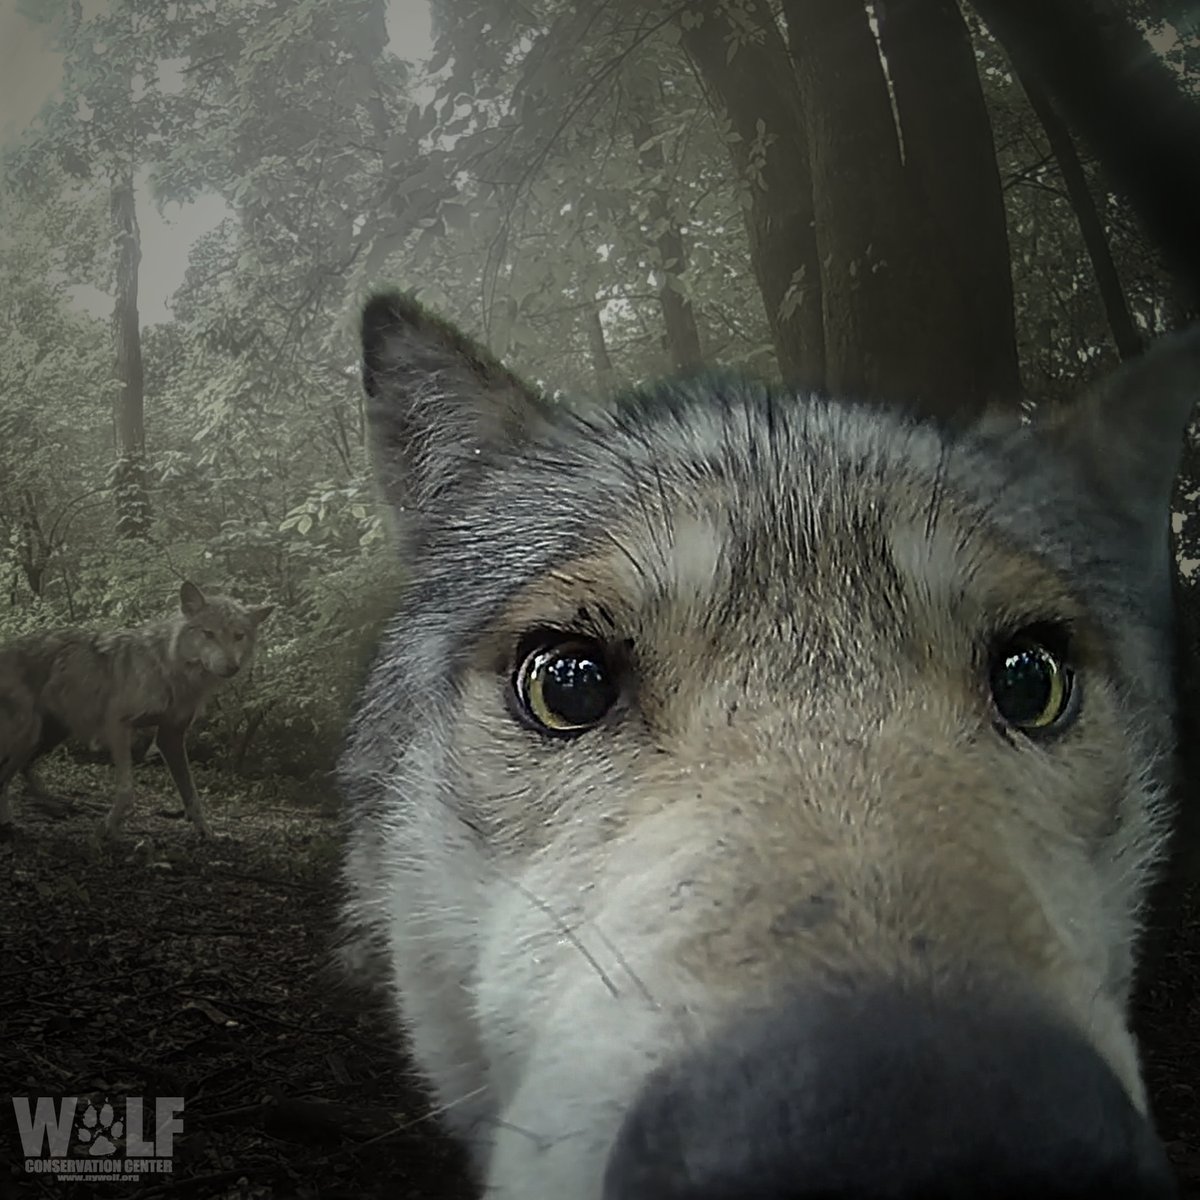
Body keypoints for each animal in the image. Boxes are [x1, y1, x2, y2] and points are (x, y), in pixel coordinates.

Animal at [0, 581, 273, 840]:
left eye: (239, 636)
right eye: (208, 634)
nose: (232, 667)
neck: (170, 670)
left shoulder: (171, 736)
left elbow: (192, 795)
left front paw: (208, 833)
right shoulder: (118, 724)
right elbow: (126, 791)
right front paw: (107, 829)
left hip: (47, 737)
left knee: (21, 772)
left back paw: (49, 807)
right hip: (27, 736)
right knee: (5, 775)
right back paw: (12, 822)